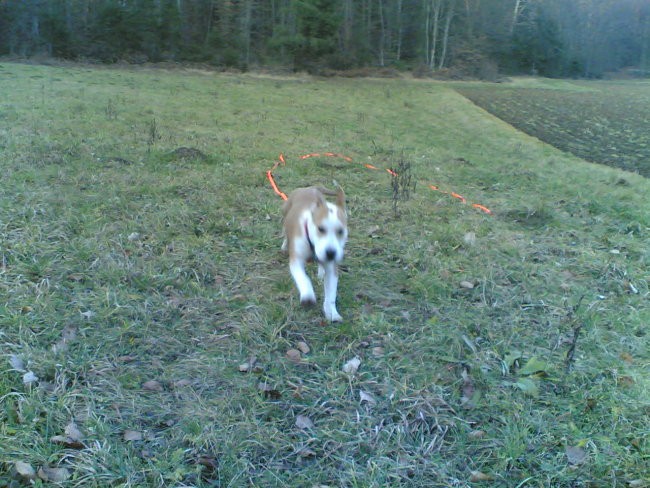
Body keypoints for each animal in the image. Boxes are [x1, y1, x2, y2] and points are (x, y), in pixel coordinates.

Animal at [280, 186, 346, 320]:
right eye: (320, 229)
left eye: (341, 231)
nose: (331, 253)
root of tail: (310, 187)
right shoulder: (296, 261)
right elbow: (303, 278)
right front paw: (307, 295)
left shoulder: (331, 269)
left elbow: (331, 292)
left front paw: (332, 312)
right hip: (285, 212)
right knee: (284, 231)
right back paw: (284, 245)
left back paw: (321, 271)